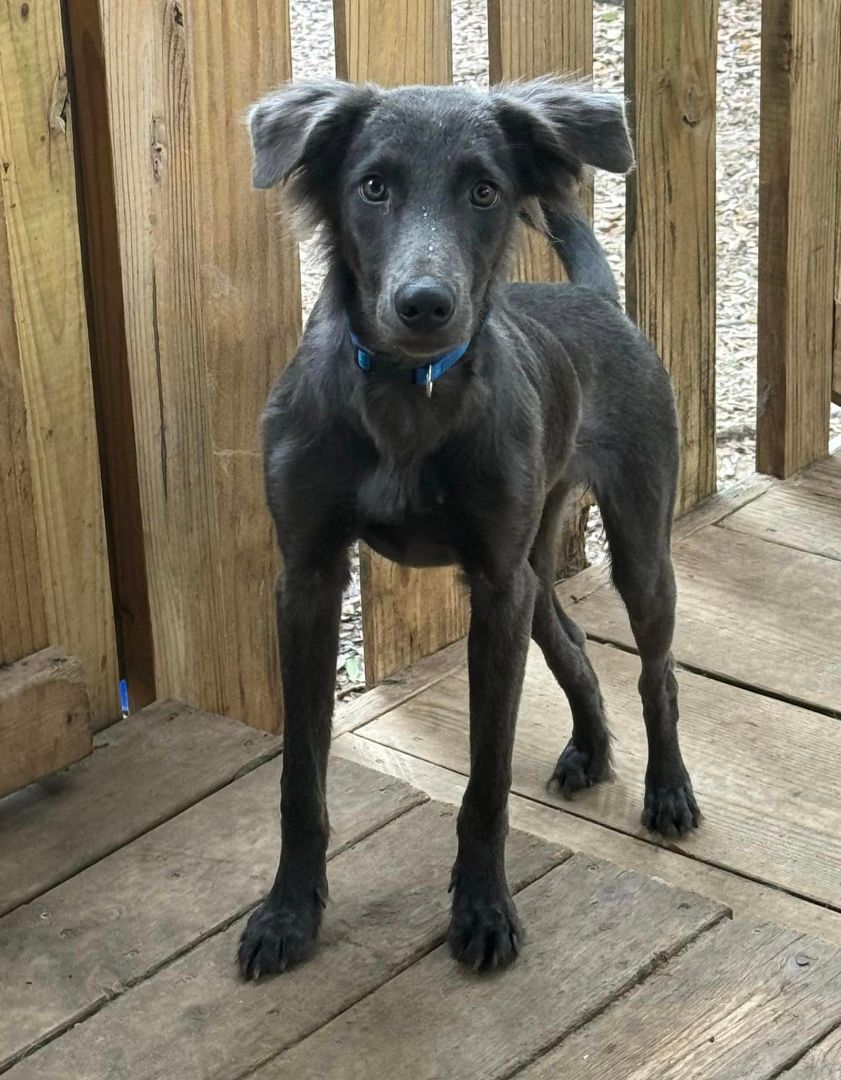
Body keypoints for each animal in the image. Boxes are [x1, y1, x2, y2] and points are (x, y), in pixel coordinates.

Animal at [236, 78, 695, 980]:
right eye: (372, 186)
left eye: (484, 191)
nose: (424, 306)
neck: (407, 396)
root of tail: (593, 299)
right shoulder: (307, 579)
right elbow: (299, 778)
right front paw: (287, 913)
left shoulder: (492, 585)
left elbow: (486, 778)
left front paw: (482, 909)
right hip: (534, 569)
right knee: (573, 645)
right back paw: (590, 751)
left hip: (633, 547)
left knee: (656, 672)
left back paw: (667, 790)